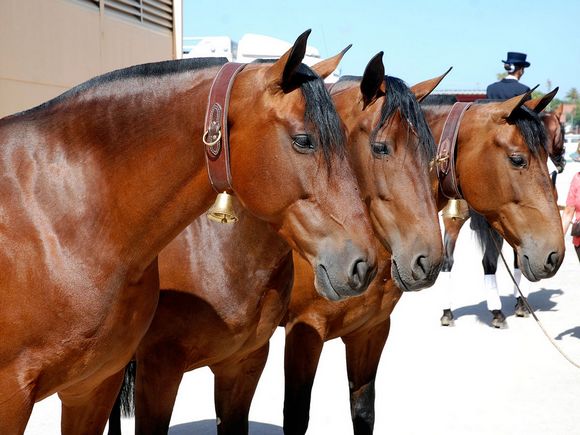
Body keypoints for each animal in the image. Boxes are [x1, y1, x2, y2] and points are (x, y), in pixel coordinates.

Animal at [107, 52, 444, 434]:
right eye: (381, 147)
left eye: (430, 155)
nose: (428, 260)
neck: (213, 248)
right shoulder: (303, 331)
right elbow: (296, 415)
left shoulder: (370, 332)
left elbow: (363, 411)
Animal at [280, 90, 560, 434]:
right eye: (518, 159)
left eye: (546, 157)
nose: (555, 254)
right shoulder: (303, 333)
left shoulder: (371, 330)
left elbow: (363, 410)